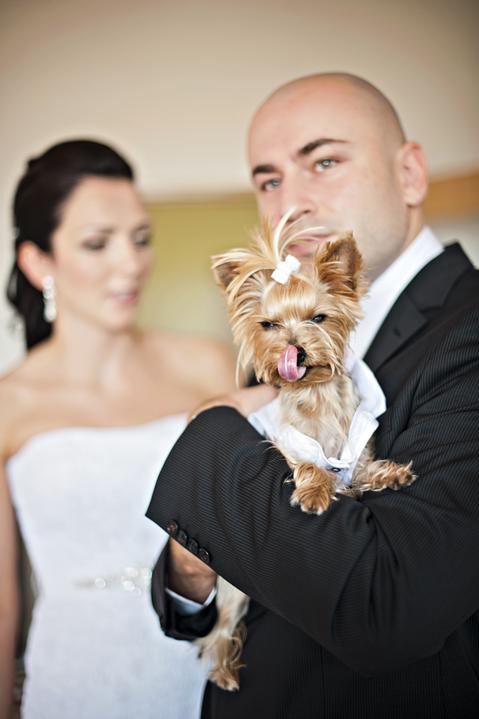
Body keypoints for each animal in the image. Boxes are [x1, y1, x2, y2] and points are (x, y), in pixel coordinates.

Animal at [196, 214, 416, 690]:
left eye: (318, 317)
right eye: (268, 326)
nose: (293, 351)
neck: (316, 396)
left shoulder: (357, 444)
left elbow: (360, 468)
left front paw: (389, 474)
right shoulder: (285, 440)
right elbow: (311, 466)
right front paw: (316, 493)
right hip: (233, 592)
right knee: (220, 628)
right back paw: (223, 672)